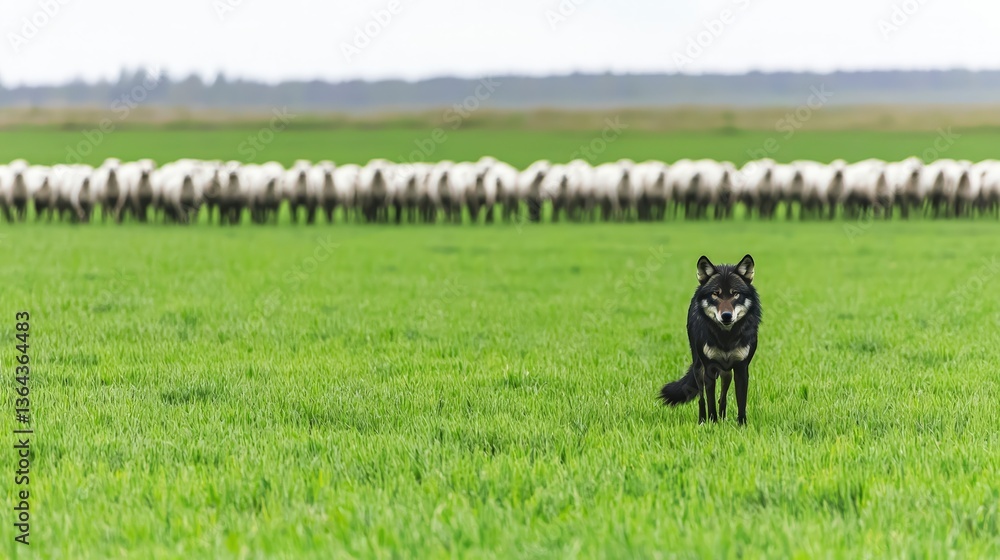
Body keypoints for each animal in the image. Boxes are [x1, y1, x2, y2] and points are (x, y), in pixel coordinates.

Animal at [659, 254, 761, 425]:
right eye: (715, 294)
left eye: (735, 294)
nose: (726, 316)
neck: (726, 337)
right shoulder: (709, 369)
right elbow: (710, 400)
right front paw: (712, 423)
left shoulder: (741, 368)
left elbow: (741, 402)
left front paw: (741, 425)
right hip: (699, 368)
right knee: (701, 399)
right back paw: (702, 421)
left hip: (727, 373)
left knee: (723, 398)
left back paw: (723, 418)